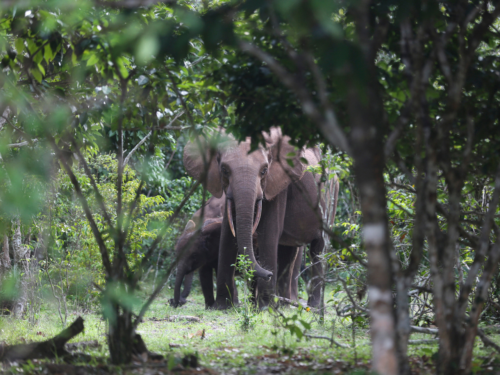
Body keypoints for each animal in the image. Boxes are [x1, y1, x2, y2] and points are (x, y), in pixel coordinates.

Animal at [184, 128, 340, 310]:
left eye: (264, 170)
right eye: (224, 170)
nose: (268, 274)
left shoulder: (279, 185)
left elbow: (268, 231)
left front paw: (265, 308)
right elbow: (228, 234)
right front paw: (222, 307)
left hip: (331, 196)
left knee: (318, 248)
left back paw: (312, 307)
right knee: (288, 251)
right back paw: (284, 304)